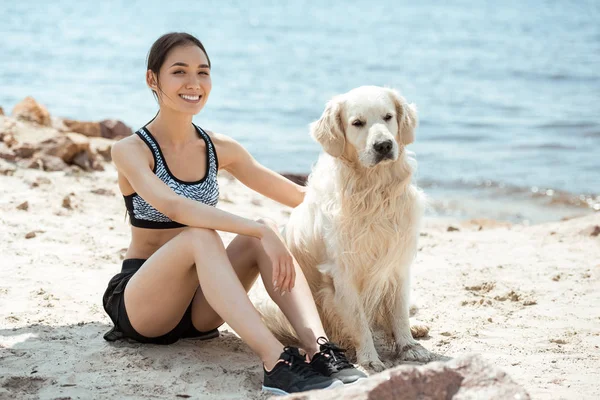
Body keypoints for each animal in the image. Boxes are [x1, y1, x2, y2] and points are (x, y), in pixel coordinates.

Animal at [262, 86, 432, 370]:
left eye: (388, 117)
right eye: (357, 123)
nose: (384, 145)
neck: (374, 190)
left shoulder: (397, 263)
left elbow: (398, 313)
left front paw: (409, 347)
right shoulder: (343, 272)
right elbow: (359, 320)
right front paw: (369, 359)